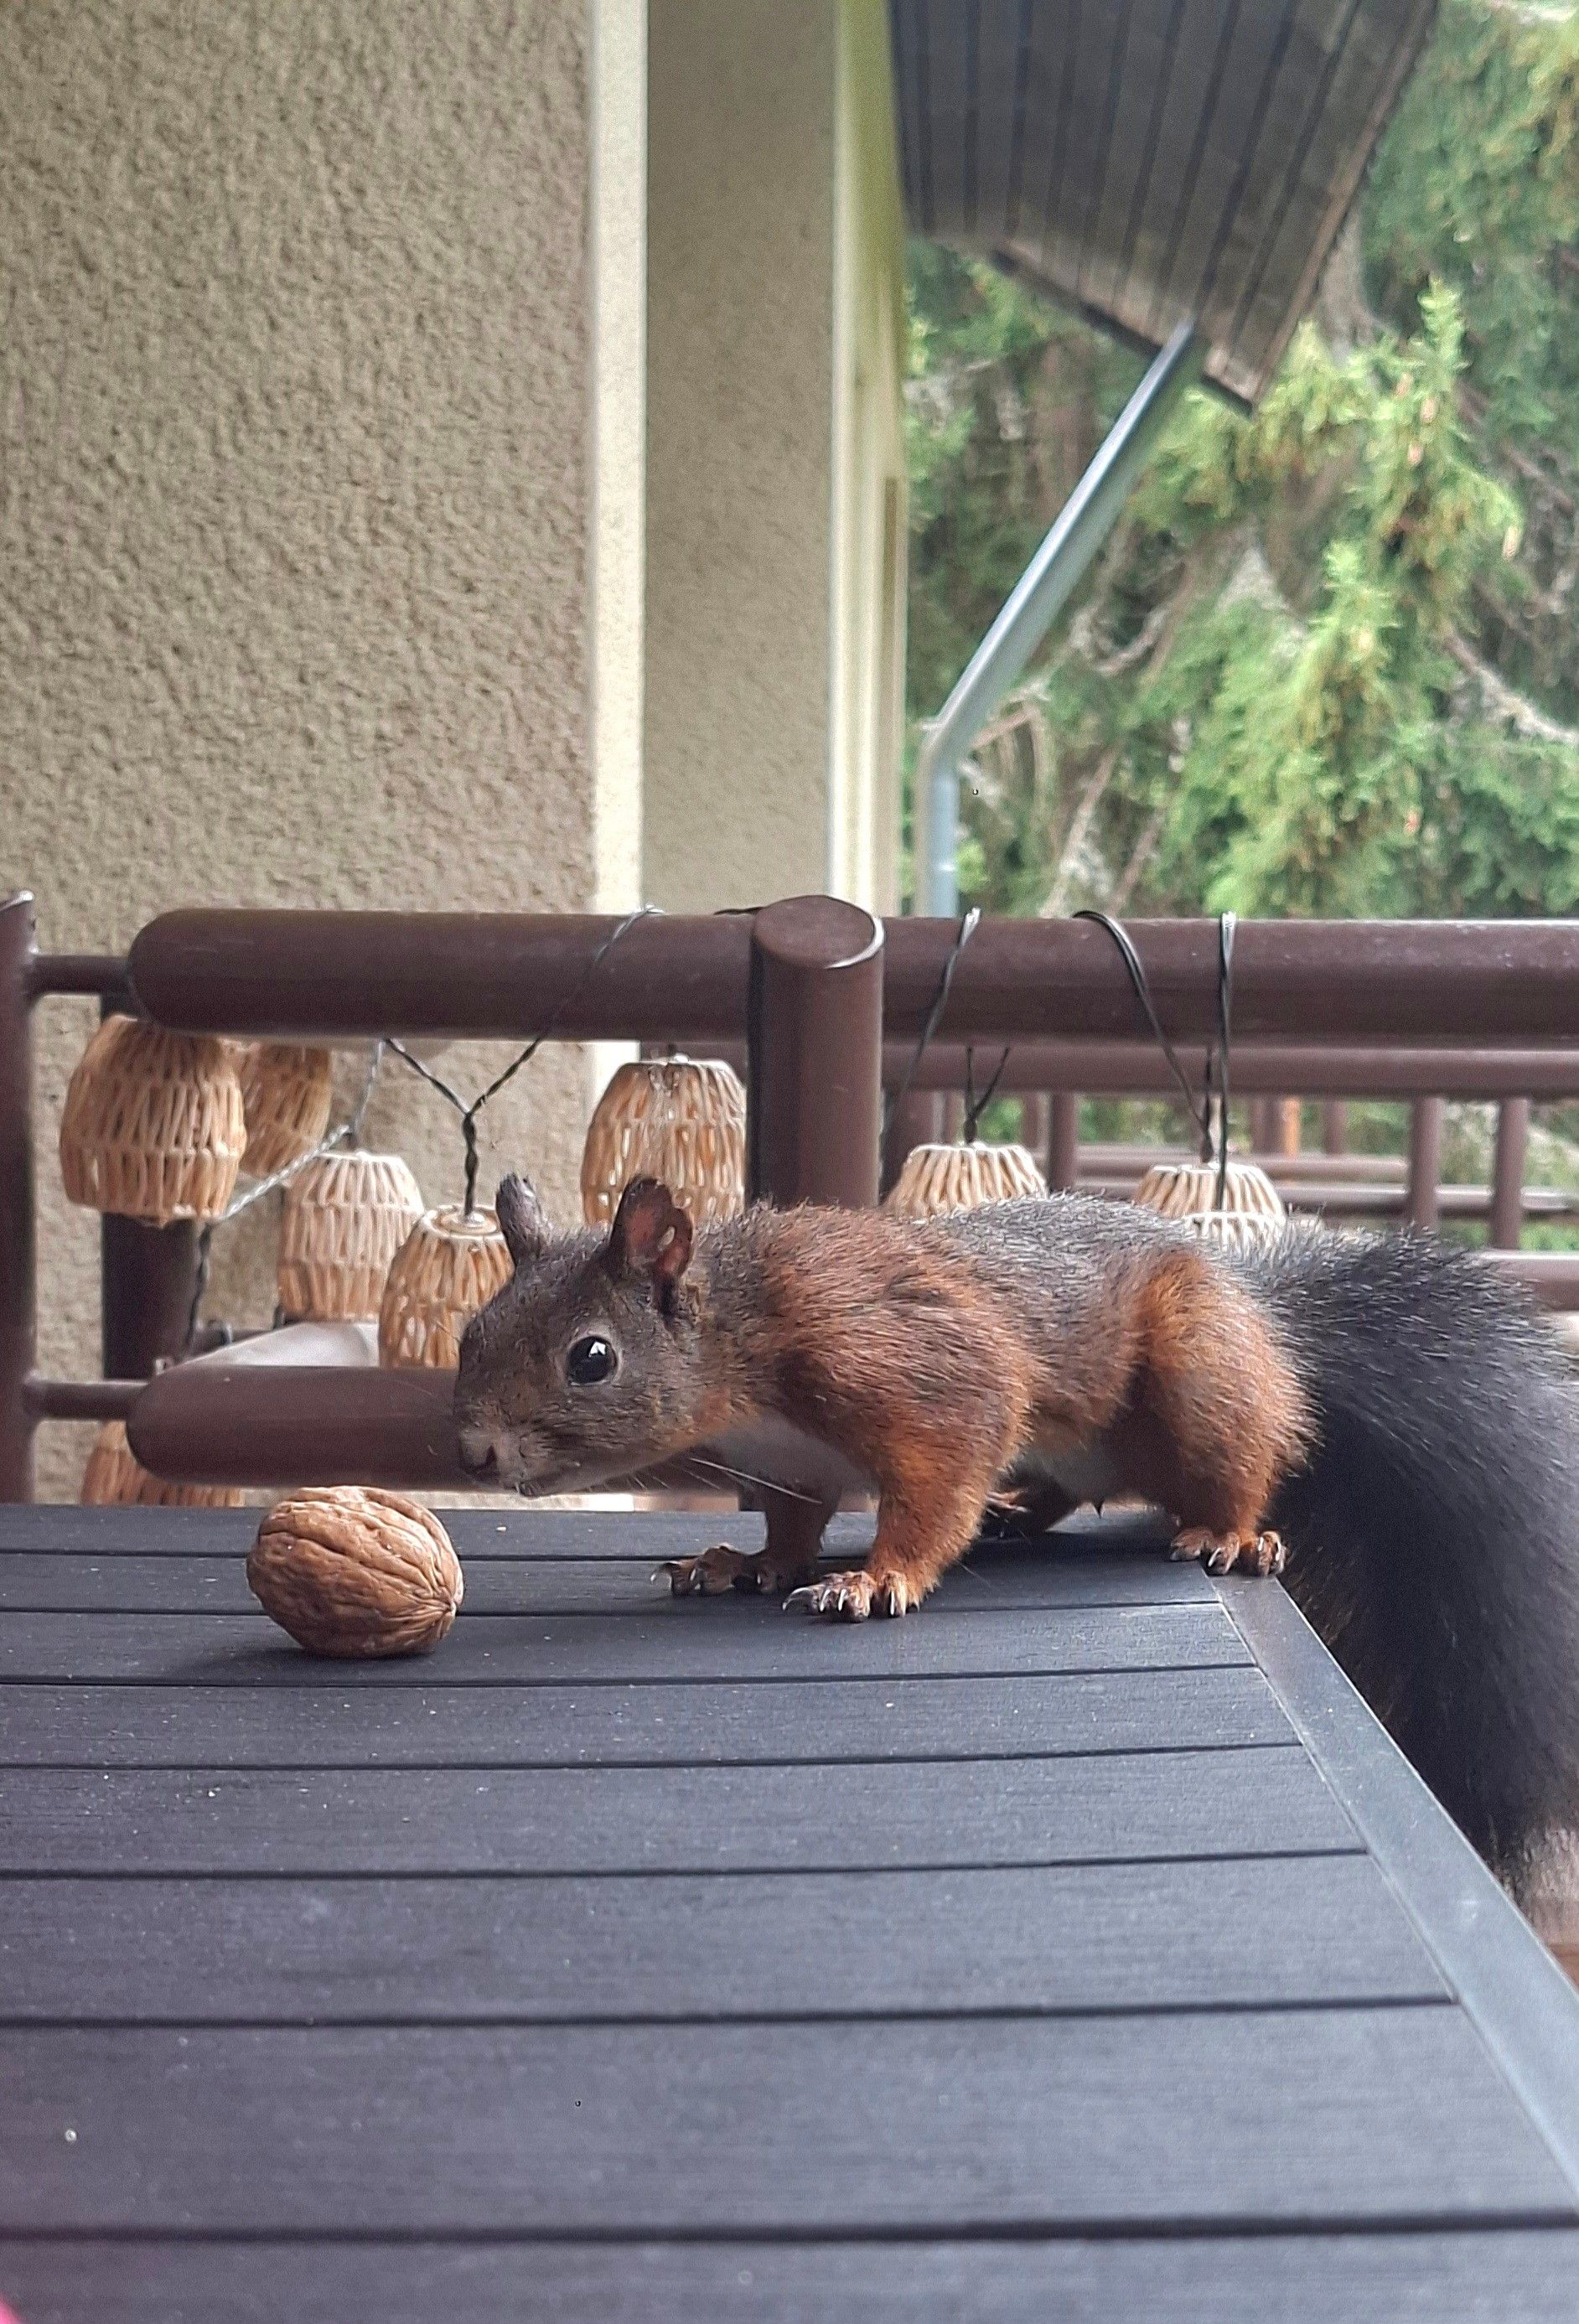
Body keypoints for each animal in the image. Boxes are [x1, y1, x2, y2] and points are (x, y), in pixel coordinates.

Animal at [455, 1170, 1579, 1902]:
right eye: (472, 1331)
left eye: (591, 1357)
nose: (469, 1450)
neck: (736, 1335)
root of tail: (1264, 1316)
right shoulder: (795, 1461)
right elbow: (792, 1522)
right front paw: (739, 1561)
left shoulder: (911, 1362)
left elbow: (942, 1473)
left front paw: (876, 1579)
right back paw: (1015, 1517)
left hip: (1200, 1373)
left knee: (1245, 1457)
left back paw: (1231, 1531)